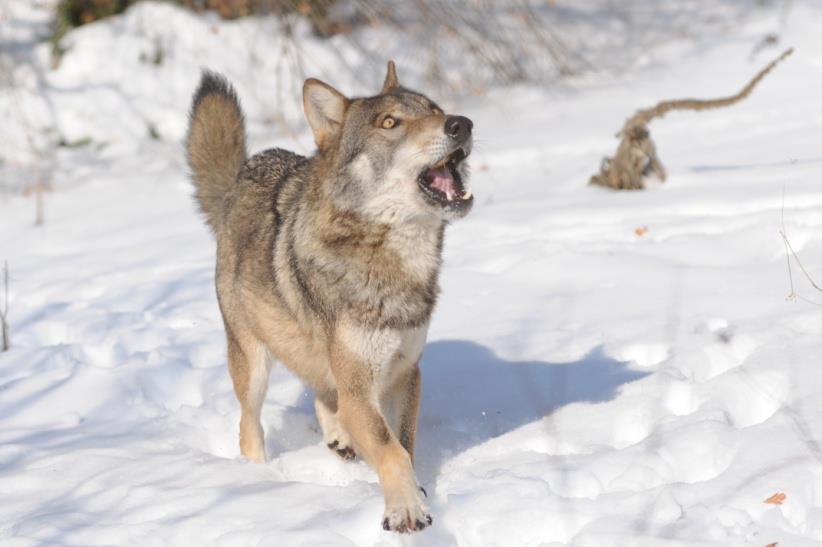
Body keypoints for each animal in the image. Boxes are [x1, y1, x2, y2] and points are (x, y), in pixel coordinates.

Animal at [184, 61, 474, 536]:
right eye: (390, 123)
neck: (389, 260)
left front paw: (414, 494)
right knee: (249, 426)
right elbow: (391, 451)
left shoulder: (406, 374)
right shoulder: (359, 388)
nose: (461, 124)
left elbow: (405, 445)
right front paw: (406, 511)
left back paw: (338, 438)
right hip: (252, 363)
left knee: (322, 391)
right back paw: (258, 478)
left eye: (434, 109)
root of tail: (246, 170)